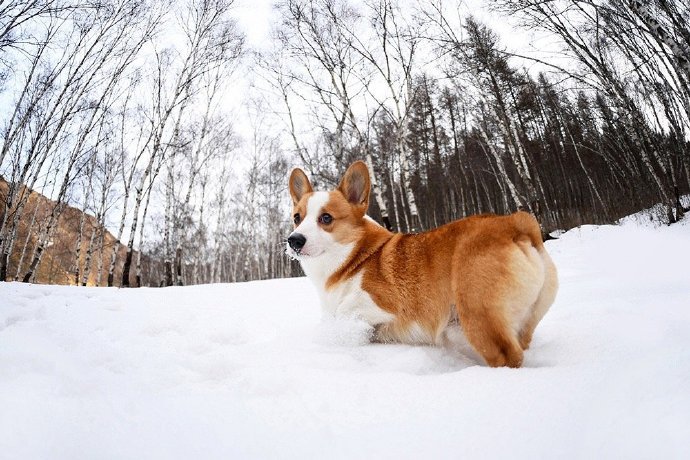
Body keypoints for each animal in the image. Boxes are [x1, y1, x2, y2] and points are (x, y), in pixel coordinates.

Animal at [288, 160, 556, 368]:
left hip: (478, 316)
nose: (294, 240)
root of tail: (514, 224)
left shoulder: (382, 303)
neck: (354, 256)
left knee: (508, 357)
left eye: (326, 218)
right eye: (297, 218)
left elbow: (347, 310)